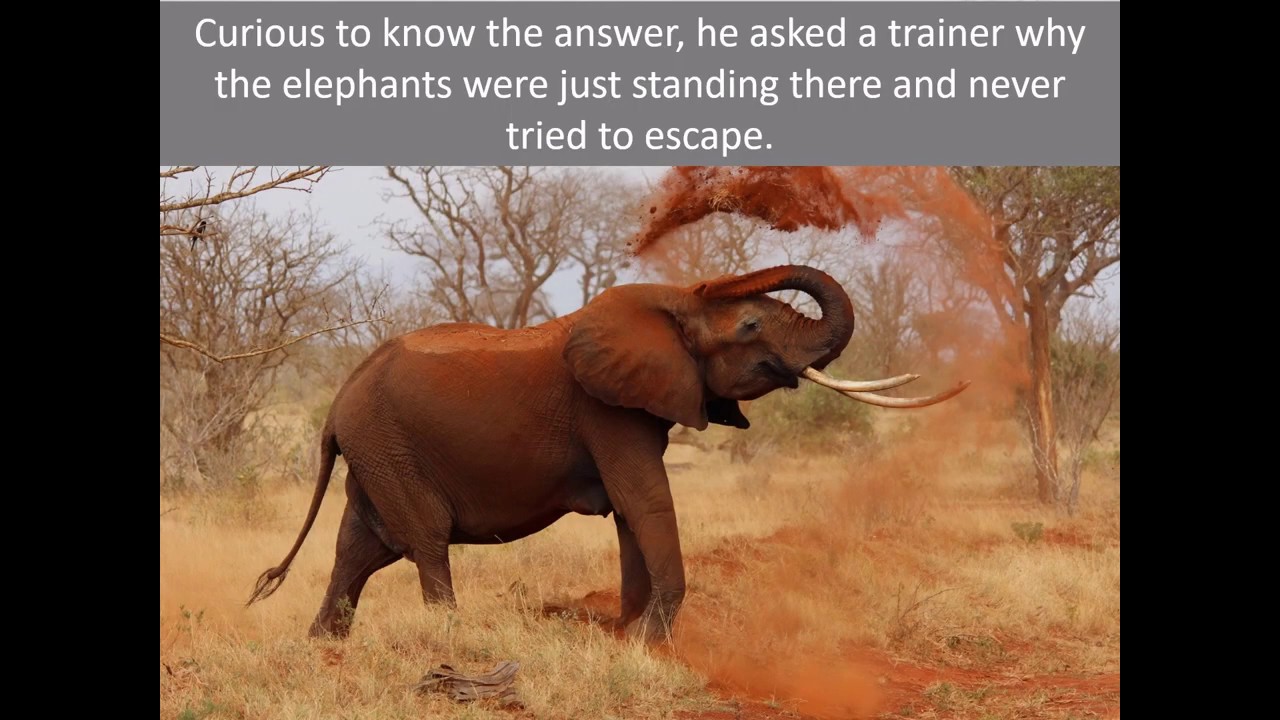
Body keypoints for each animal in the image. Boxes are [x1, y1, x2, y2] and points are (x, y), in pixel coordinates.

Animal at [246, 264, 966, 642]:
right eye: (751, 325)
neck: (671, 303)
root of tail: (337, 403)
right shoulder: (607, 410)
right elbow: (644, 500)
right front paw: (650, 642)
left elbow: (630, 512)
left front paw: (627, 633)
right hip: (388, 446)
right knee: (422, 539)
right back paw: (451, 638)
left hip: (376, 451)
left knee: (360, 547)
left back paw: (324, 648)